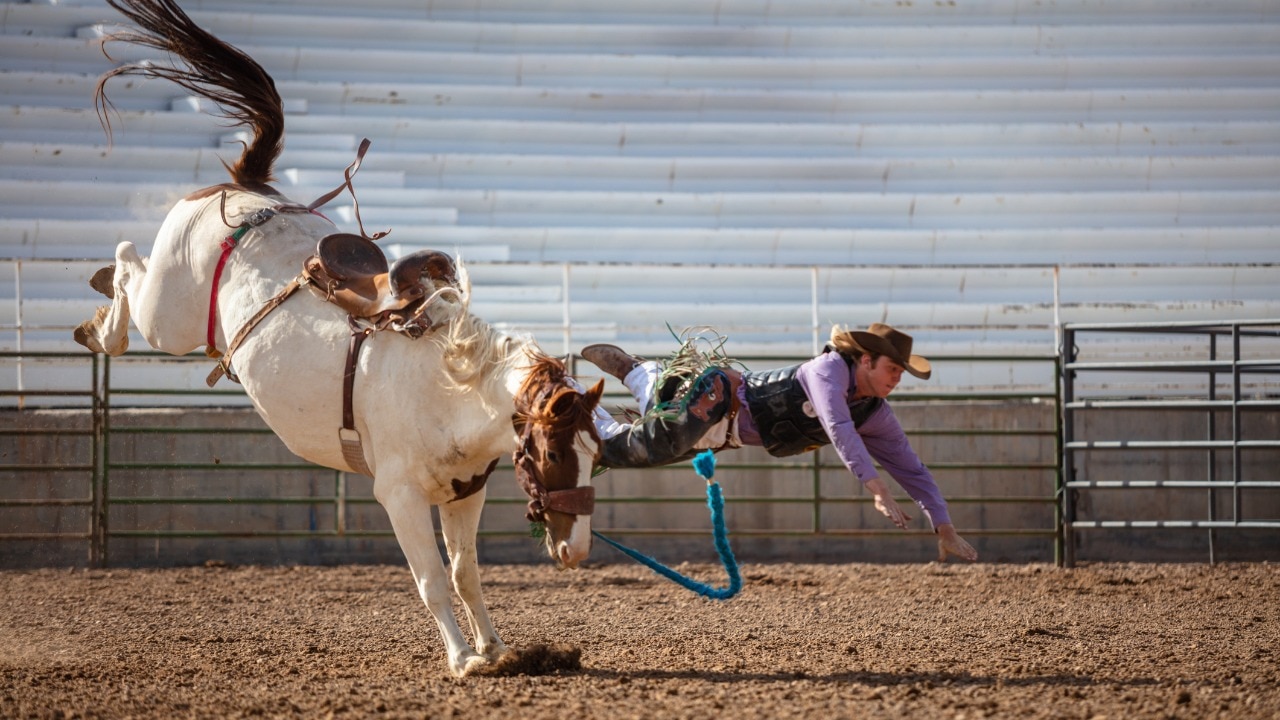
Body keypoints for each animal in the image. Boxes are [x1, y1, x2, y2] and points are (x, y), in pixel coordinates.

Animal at [72, 0, 606, 676]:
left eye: (597, 457)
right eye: (557, 455)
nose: (578, 551)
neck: (448, 388)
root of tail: (245, 192)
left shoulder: (465, 493)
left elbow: (466, 575)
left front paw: (496, 649)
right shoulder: (399, 495)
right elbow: (432, 578)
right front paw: (462, 657)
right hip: (167, 313)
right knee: (126, 264)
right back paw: (100, 324)